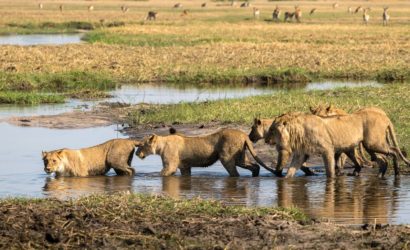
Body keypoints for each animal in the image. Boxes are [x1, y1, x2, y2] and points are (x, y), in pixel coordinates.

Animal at [135, 128, 276, 177]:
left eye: (140, 145)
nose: (136, 154)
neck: (161, 145)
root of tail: (244, 134)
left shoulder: (170, 165)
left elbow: (163, 173)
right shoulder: (185, 166)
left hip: (227, 157)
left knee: (235, 173)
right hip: (241, 158)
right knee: (255, 166)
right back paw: (255, 176)